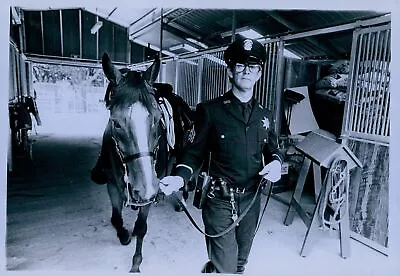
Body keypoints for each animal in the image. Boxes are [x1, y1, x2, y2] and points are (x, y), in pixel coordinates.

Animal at [99, 52, 195, 272]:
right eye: (115, 122)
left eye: (158, 119)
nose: (146, 190)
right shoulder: (111, 184)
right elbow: (116, 219)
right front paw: (125, 235)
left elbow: (142, 227)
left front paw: (136, 263)